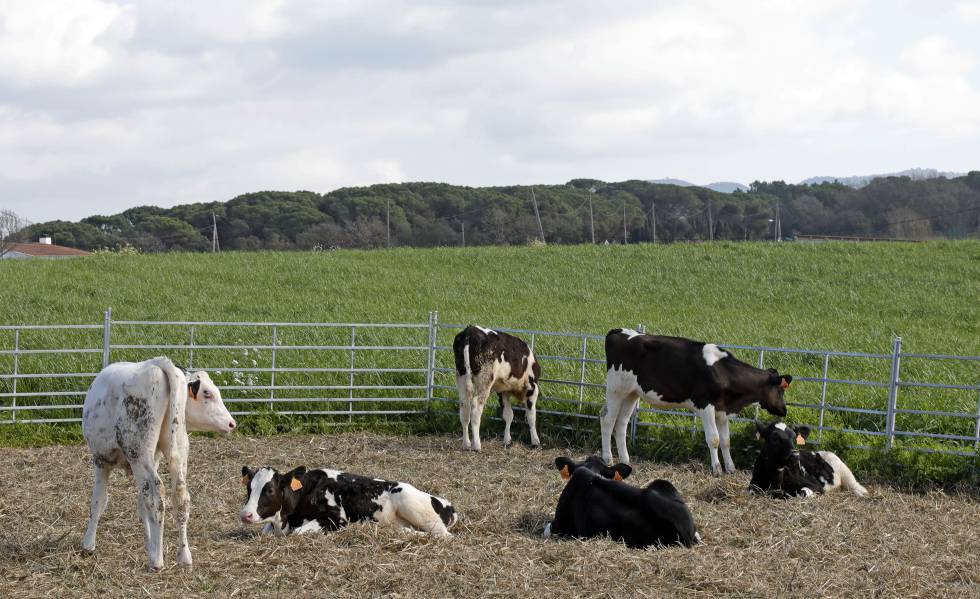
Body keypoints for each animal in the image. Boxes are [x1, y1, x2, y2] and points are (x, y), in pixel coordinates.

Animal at [80, 358, 234, 568]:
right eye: (207, 393)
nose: (232, 423)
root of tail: (160, 364)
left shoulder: (101, 460)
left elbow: (98, 501)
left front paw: (88, 544)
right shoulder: (155, 459)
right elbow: (141, 504)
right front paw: (149, 542)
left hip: (138, 454)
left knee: (156, 495)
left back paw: (157, 559)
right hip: (178, 450)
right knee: (180, 497)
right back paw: (183, 556)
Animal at [239, 466, 458, 536]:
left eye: (269, 490)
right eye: (249, 488)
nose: (245, 515)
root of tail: (445, 503)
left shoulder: (337, 519)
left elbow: (299, 532)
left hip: (414, 507)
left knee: (441, 535)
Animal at [600, 330, 792, 476]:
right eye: (780, 391)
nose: (784, 410)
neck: (723, 371)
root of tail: (617, 331)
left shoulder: (722, 410)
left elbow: (726, 440)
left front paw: (731, 468)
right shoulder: (705, 405)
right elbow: (714, 439)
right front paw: (717, 469)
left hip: (632, 394)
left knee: (621, 423)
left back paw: (625, 460)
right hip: (616, 390)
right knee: (607, 419)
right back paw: (608, 459)